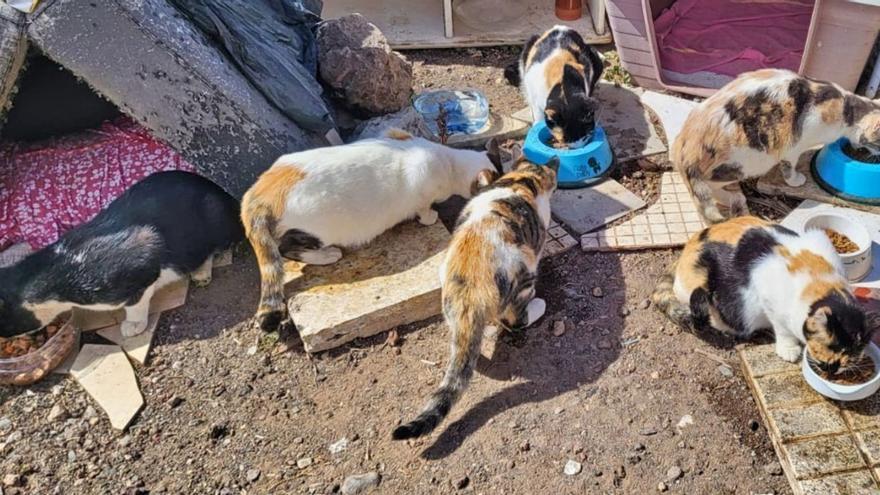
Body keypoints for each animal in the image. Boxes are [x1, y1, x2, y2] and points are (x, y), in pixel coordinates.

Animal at [241, 129, 506, 334]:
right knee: (285, 249)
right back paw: (328, 255)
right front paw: (431, 217)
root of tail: (259, 196)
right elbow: (425, 211)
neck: (448, 162)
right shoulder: (423, 194)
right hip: (317, 229)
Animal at [392, 152, 556, 442]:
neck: (521, 179)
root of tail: (469, 295)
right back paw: (538, 304)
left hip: (444, 283)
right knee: (515, 320)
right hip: (523, 270)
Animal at [648, 217, 876, 372]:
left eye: (854, 351)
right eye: (831, 346)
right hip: (699, 285)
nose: (835, 367)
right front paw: (789, 350)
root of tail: (685, 252)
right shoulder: (767, 292)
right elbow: (782, 328)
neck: (820, 281)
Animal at [672, 69, 880, 224]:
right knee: (710, 190)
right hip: (747, 163)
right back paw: (731, 198)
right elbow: (789, 167)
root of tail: (685, 151)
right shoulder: (794, 146)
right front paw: (795, 180)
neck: (847, 110)